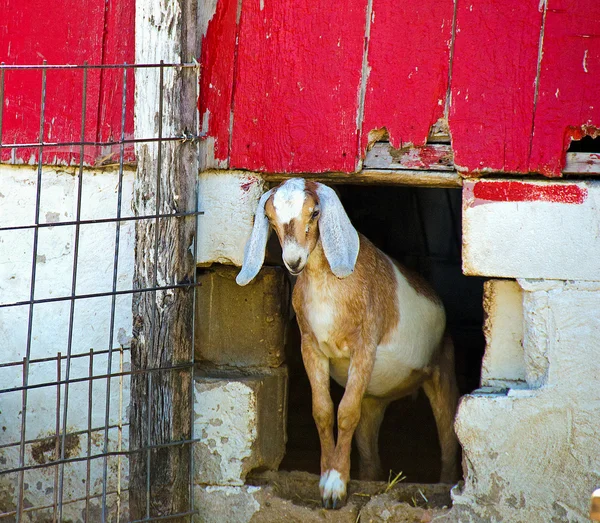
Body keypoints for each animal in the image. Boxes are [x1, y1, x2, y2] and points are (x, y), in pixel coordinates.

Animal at [236, 178, 460, 510]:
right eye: (270, 218)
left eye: (315, 212)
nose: (293, 261)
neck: (327, 286)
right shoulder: (311, 348)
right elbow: (324, 410)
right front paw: (327, 478)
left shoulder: (364, 346)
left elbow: (345, 412)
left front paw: (336, 487)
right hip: (374, 402)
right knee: (370, 455)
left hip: (442, 372)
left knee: (447, 441)